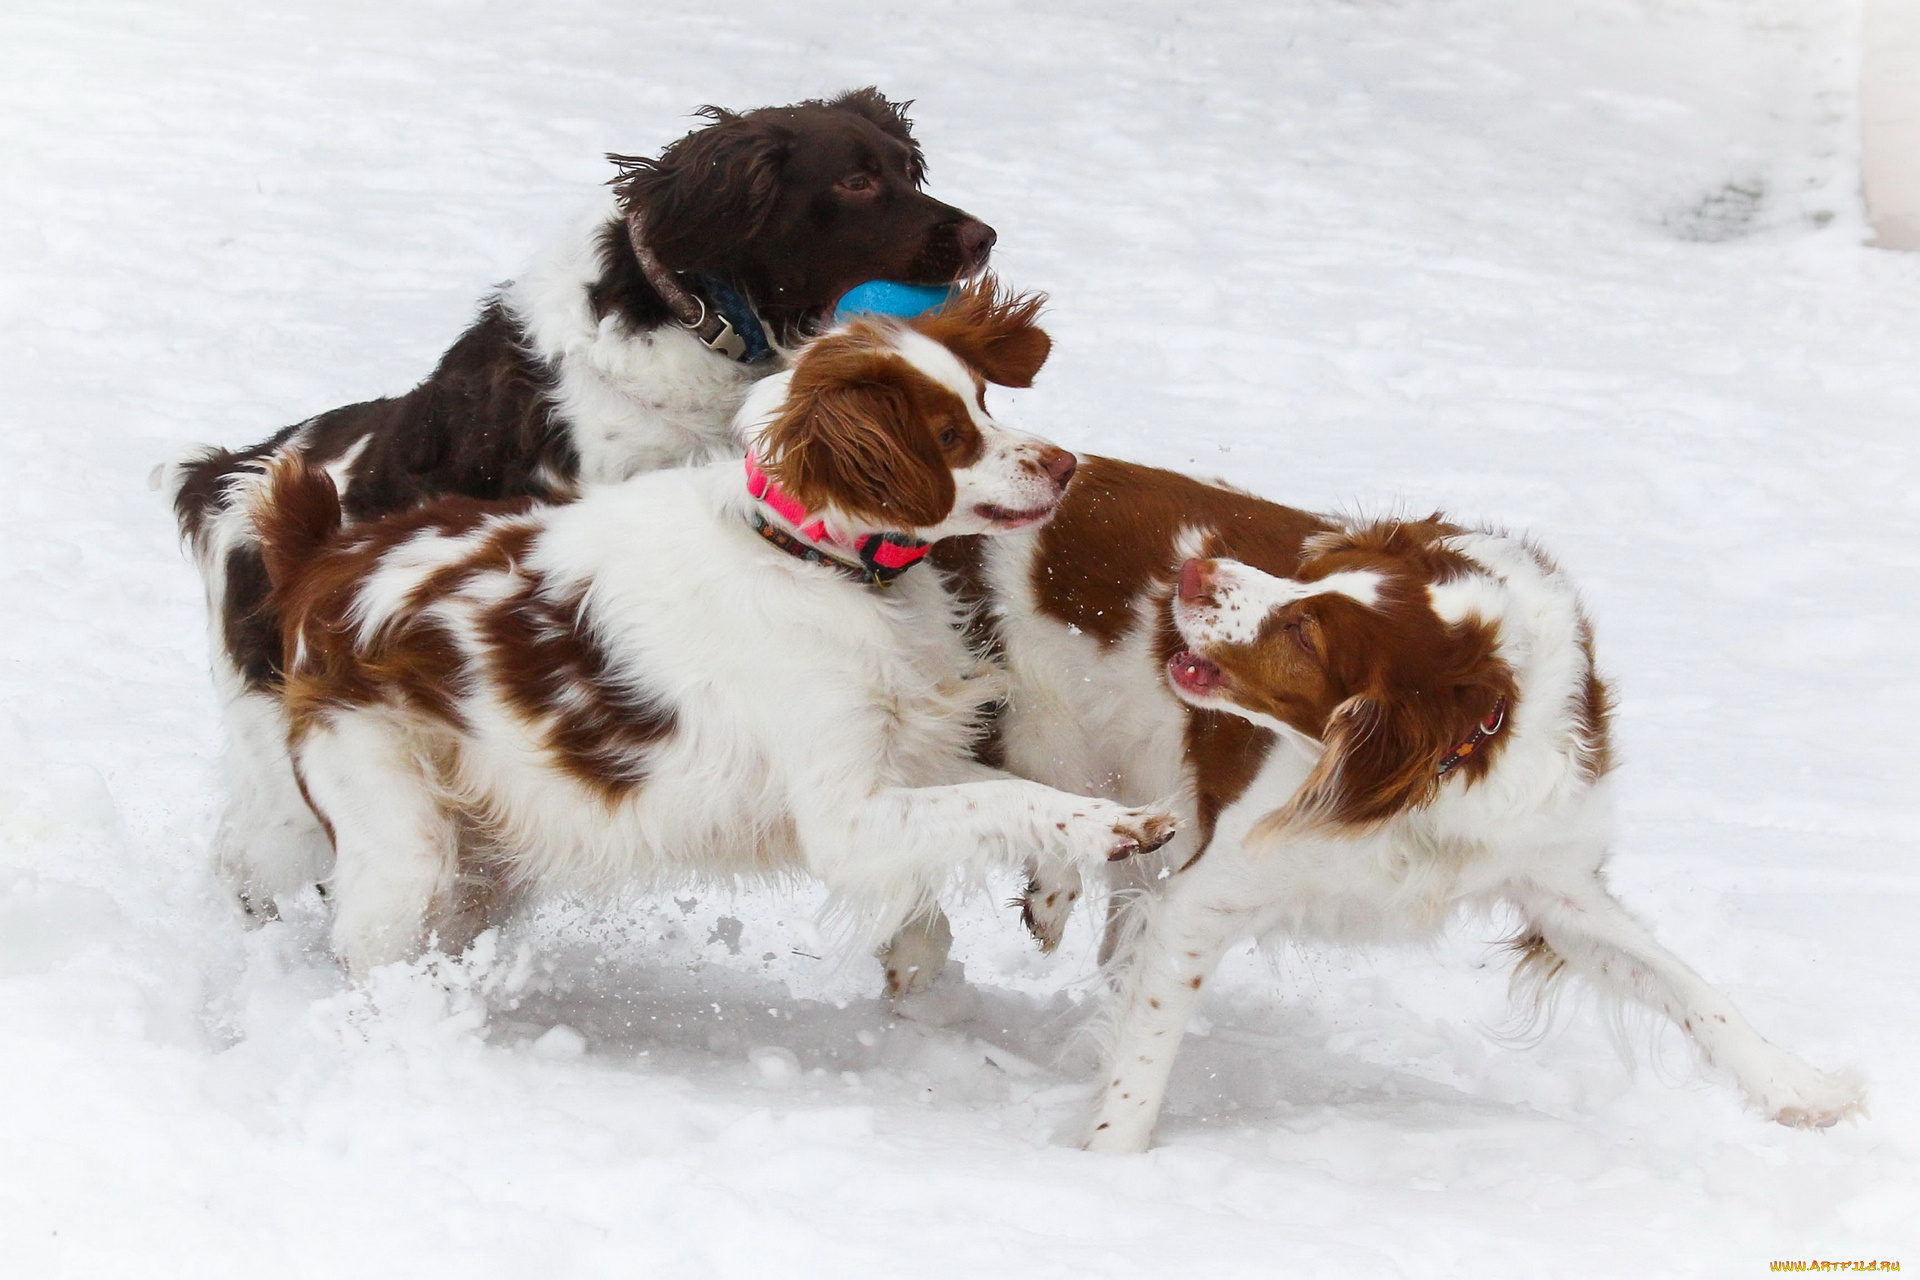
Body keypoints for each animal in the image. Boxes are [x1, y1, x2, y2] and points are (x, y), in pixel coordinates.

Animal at [172, 87, 998, 921]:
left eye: (907, 169)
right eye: (855, 183)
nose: (983, 237)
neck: (697, 329)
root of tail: (226, 478)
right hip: (291, 773)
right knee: (249, 856)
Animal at [234, 282, 1175, 982]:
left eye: (984, 400)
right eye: (947, 435)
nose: (1065, 465)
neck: (811, 558)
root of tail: (324, 558)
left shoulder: (906, 750)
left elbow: (1017, 786)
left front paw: (1062, 879)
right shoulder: (844, 813)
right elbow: (1006, 799)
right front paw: (1119, 828)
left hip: (482, 855)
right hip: (407, 845)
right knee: (370, 958)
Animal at [936, 458, 1866, 1151]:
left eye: (1306, 630)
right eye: (1305, 574)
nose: (1193, 575)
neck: (1427, 780)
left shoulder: (1554, 881)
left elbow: (1690, 986)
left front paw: (1799, 1088)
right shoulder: (1210, 896)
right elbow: (1142, 1055)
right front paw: (1110, 1165)